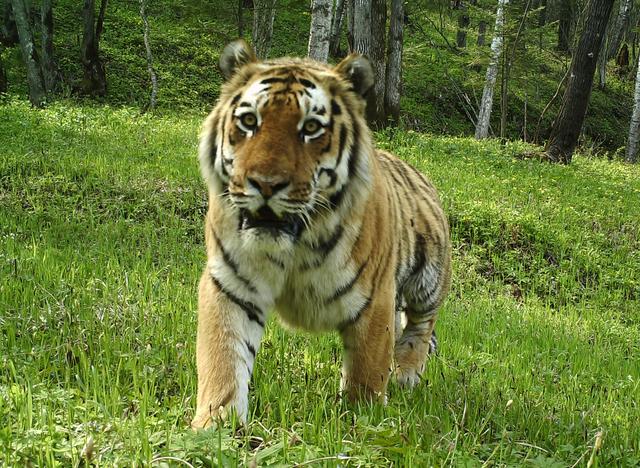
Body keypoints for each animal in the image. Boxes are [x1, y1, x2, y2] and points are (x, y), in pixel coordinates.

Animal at [192, 39, 452, 428]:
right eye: (249, 121)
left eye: (311, 127)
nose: (265, 184)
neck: (294, 243)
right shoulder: (230, 286)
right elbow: (222, 362)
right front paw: (215, 427)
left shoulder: (375, 296)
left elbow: (367, 371)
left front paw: (363, 422)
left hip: (428, 277)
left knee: (421, 324)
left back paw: (406, 374)